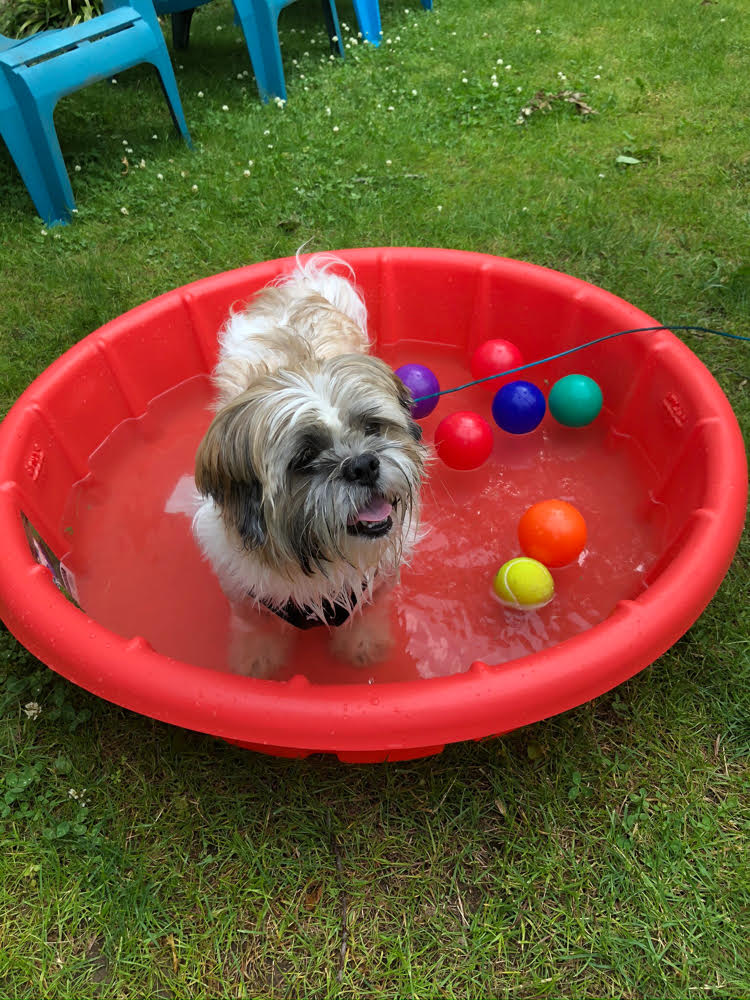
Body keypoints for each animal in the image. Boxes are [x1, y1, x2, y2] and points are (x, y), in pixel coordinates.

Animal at [192, 254, 428, 676]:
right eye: (304, 458)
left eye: (371, 428)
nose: (363, 464)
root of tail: (302, 285)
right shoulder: (243, 590)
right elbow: (255, 626)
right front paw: (258, 660)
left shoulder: (377, 582)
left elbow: (366, 613)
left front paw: (361, 645)